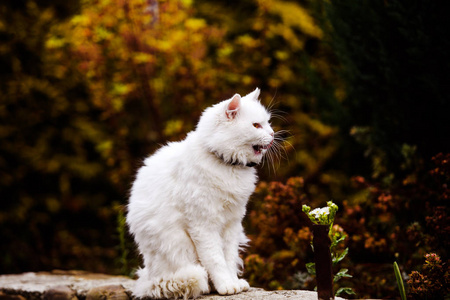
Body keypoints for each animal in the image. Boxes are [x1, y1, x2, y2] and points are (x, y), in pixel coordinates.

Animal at [125, 88, 274, 298]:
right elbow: (216, 260)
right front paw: (226, 286)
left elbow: (228, 258)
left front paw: (233, 283)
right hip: (179, 246)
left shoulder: (232, 224)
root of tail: (149, 277)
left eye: (268, 123)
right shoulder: (204, 225)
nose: (273, 134)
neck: (225, 163)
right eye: (256, 125)